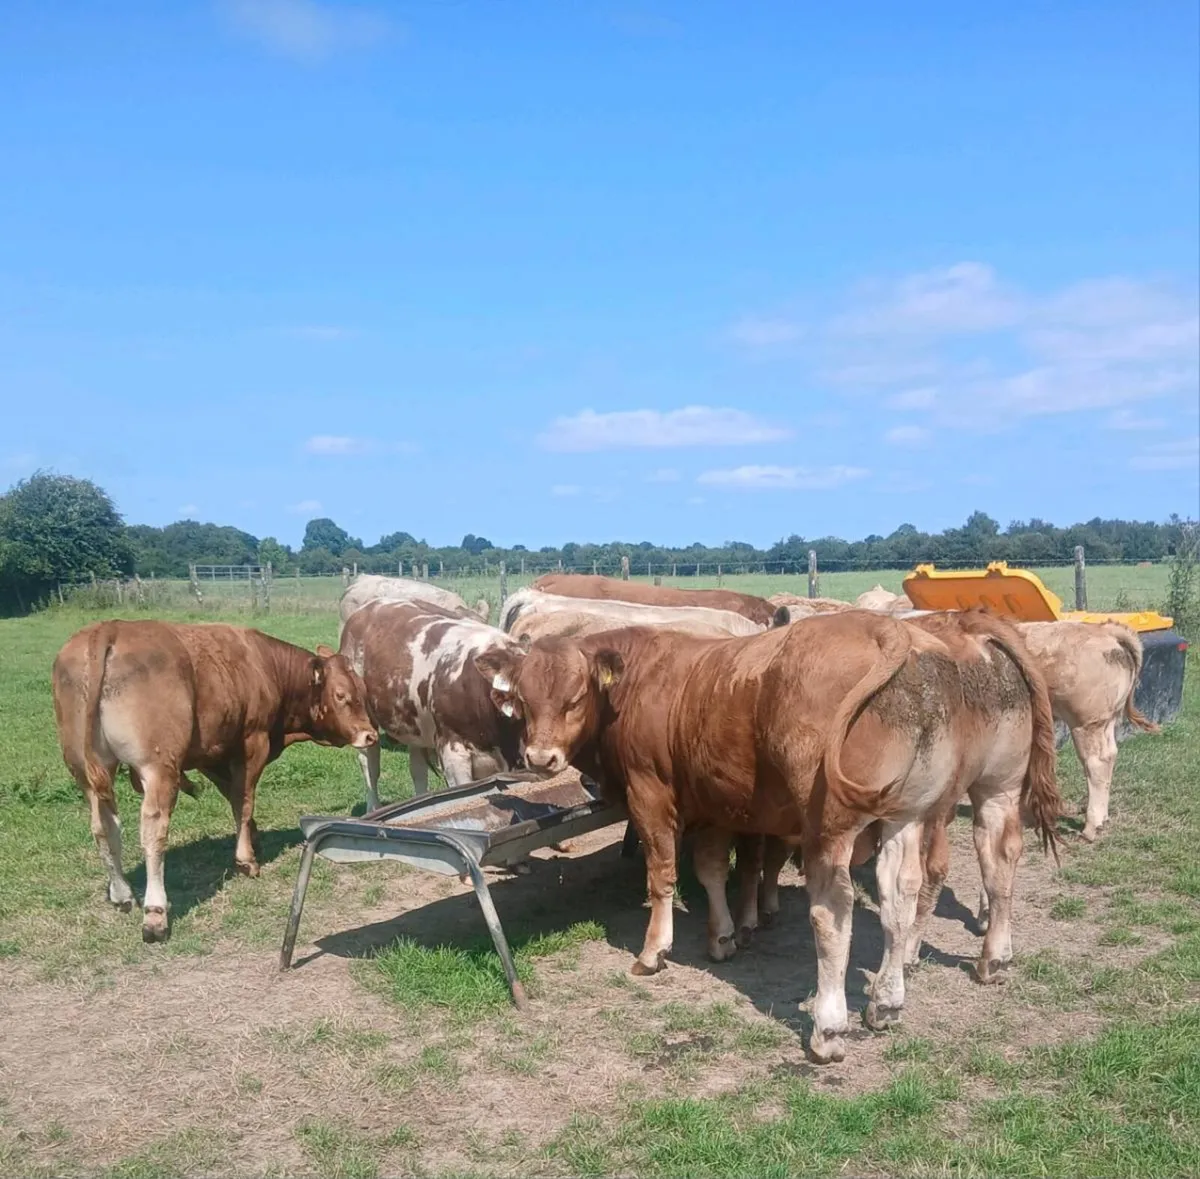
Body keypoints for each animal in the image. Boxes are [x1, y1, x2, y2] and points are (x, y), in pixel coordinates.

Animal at [52, 620, 377, 943]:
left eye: (362, 688)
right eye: (341, 694)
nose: (370, 735)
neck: (265, 665)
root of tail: (110, 628)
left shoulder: (212, 753)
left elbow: (233, 797)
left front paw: (253, 837)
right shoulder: (252, 742)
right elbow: (244, 800)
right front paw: (246, 859)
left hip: (84, 770)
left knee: (103, 827)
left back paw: (121, 894)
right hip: (159, 768)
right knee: (153, 831)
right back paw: (155, 916)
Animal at [338, 599, 527, 811]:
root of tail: (372, 604)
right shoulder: (453, 754)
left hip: (413, 726)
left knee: (417, 769)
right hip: (364, 717)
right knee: (369, 763)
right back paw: (374, 808)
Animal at [475, 609, 1061, 1063]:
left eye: (574, 698)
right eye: (522, 699)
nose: (540, 758)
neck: (646, 680)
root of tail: (887, 629)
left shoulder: (651, 795)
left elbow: (662, 874)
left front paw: (654, 950)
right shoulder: (715, 802)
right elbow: (715, 869)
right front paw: (723, 936)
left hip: (833, 824)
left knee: (834, 914)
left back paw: (829, 1027)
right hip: (929, 809)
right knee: (918, 890)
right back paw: (895, 997)